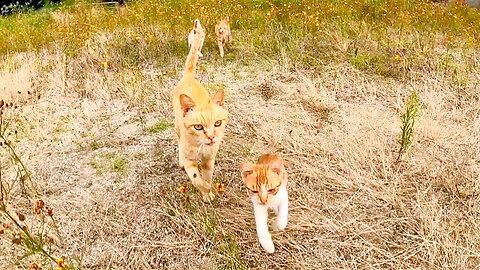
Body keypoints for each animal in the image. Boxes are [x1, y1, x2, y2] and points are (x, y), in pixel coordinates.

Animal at [172, 19, 228, 202]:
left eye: (217, 123)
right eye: (198, 127)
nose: (211, 137)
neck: (201, 147)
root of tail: (189, 76)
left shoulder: (209, 159)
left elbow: (208, 177)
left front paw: (209, 192)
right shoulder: (190, 160)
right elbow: (197, 179)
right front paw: (206, 190)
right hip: (177, 125)